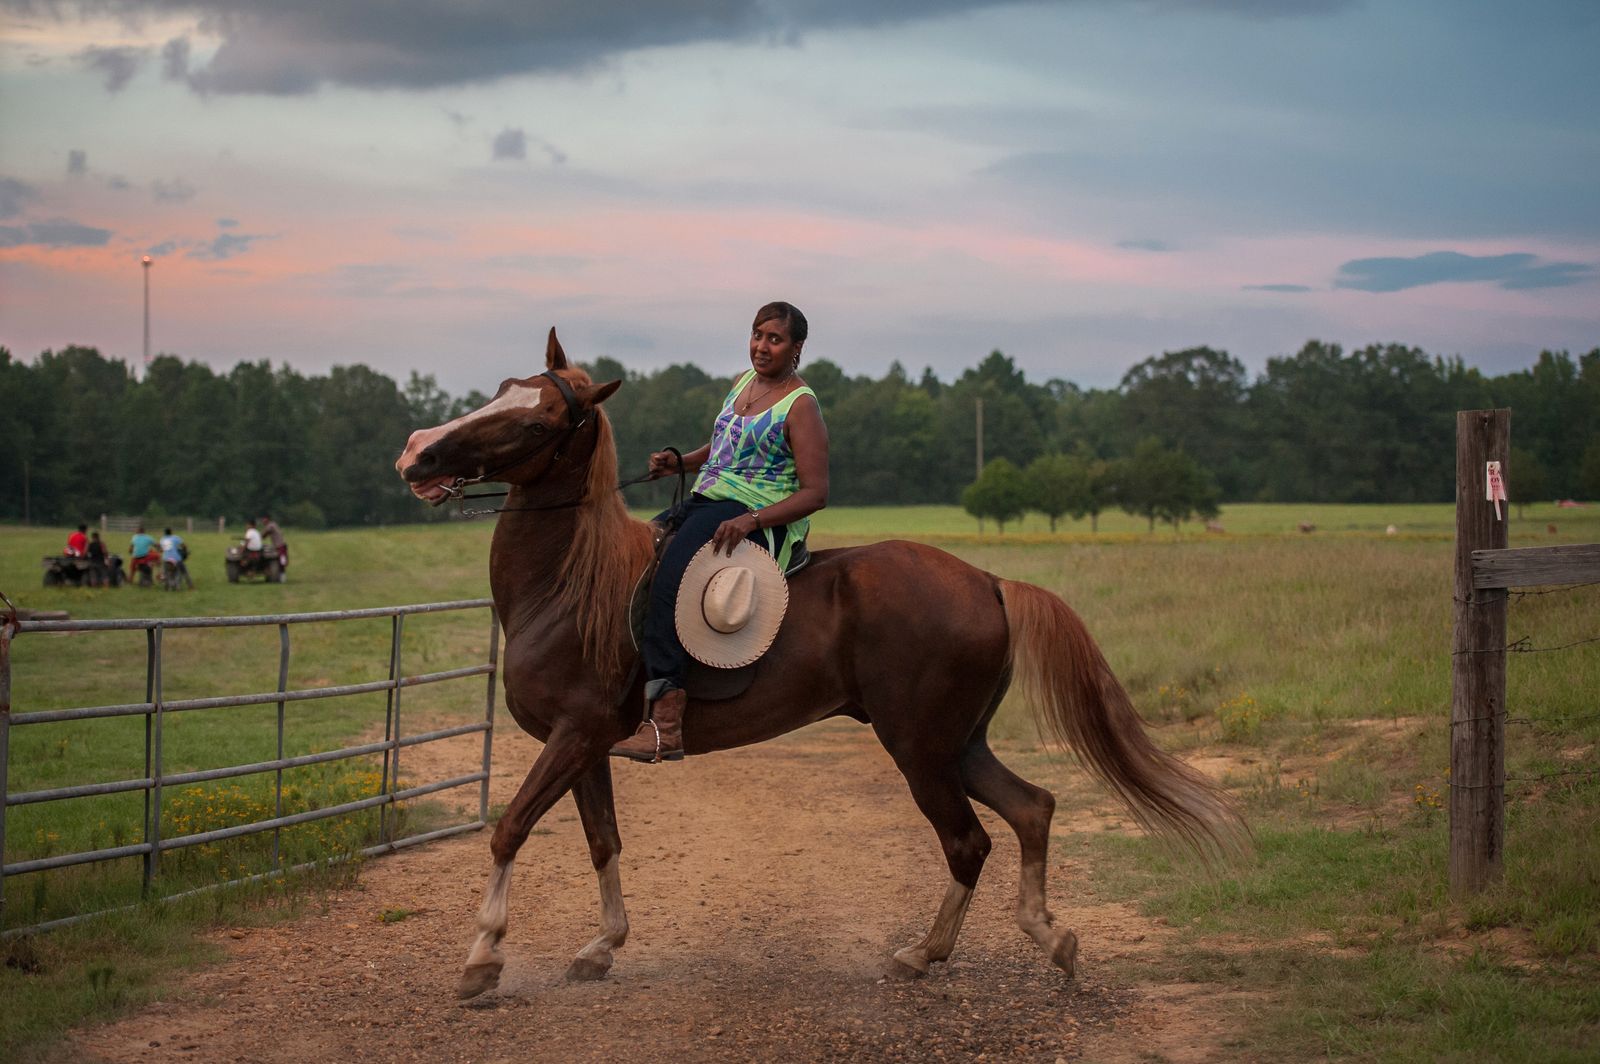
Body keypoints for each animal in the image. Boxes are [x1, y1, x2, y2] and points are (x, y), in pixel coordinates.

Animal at [393, 329, 1241, 998]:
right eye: (501, 389)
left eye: (536, 416)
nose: (415, 453)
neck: (570, 587)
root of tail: (989, 581)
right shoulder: (588, 746)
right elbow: (603, 841)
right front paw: (600, 948)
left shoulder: (571, 736)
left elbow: (508, 831)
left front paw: (481, 960)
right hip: (956, 742)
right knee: (1031, 808)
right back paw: (1045, 938)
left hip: (918, 746)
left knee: (969, 842)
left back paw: (921, 955)